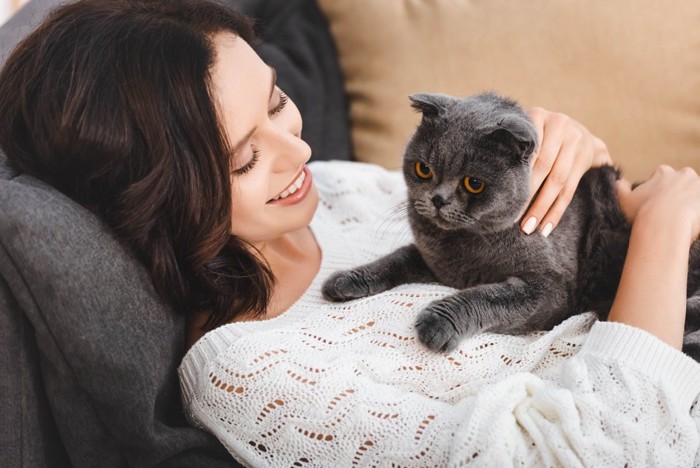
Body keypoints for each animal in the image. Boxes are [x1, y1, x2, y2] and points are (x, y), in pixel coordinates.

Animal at [322, 91, 700, 358]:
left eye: (474, 183)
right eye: (423, 169)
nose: (438, 199)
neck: (463, 248)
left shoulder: (551, 290)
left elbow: (488, 296)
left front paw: (437, 322)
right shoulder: (435, 264)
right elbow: (397, 256)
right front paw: (346, 280)